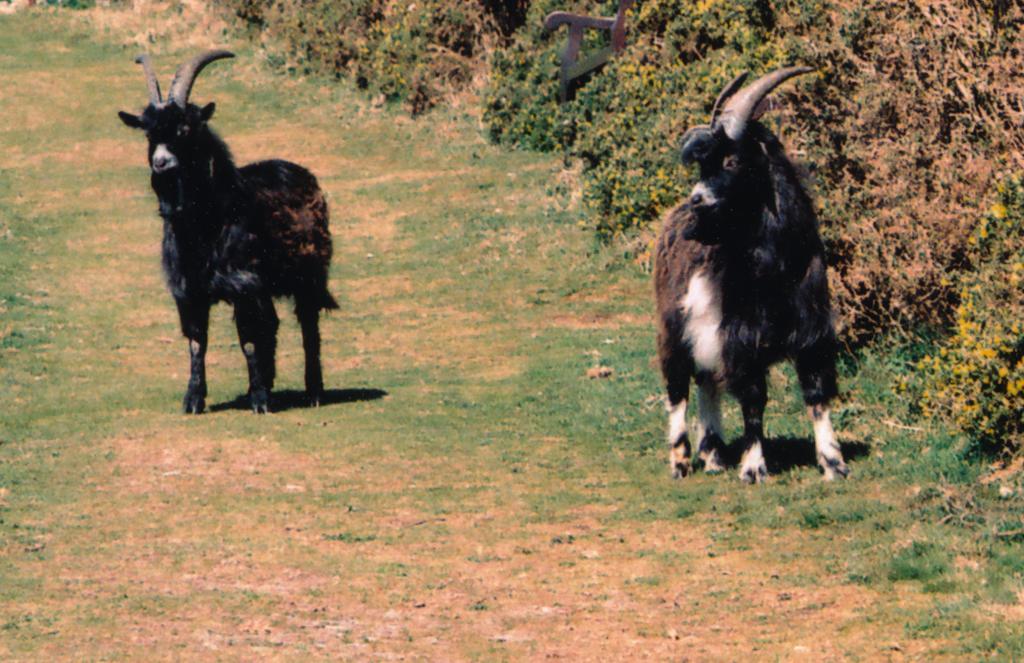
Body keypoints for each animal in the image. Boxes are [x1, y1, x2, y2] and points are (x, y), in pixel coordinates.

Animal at [119, 51, 335, 413]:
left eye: (185, 129)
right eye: (148, 135)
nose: (161, 163)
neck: (206, 223)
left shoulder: (243, 285)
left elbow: (248, 340)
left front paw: (260, 401)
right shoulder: (189, 291)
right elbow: (197, 342)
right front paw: (194, 399)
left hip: (310, 274)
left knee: (308, 324)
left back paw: (313, 392)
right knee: (274, 324)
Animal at [655, 66, 847, 481]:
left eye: (731, 161)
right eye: (703, 165)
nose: (698, 200)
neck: (775, 268)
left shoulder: (812, 333)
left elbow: (817, 394)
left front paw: (833, 462)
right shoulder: (742, 338)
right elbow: (754, 400)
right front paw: (754, 467)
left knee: (706, 382)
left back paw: (713, 455)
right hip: (673, 326)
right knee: (677, 387)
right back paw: (680, 460)